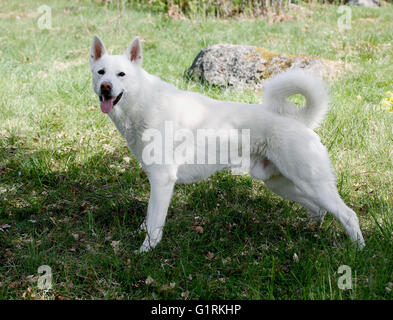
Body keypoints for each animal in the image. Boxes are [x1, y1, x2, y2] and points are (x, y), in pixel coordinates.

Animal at [89, 36, 364, 252]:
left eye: (121, 74)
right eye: (101, 72)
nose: (106, 87)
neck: (142, 103)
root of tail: (300, 120)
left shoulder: (162, 180)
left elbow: (154, 224)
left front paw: (145, 253)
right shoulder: (156, 181)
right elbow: (147, 219)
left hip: (312, 183)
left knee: (348, 215)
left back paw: (358, 251)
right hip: (282, 184)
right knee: (319, 211)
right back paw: (310, 232)